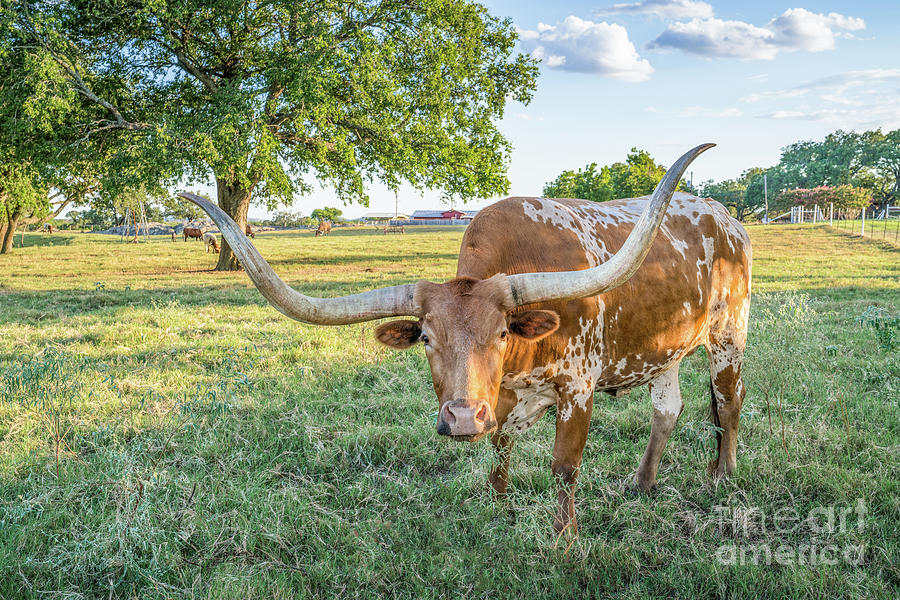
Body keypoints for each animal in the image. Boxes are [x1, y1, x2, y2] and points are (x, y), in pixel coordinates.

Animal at [178, 145, 752, 536]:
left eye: (500, 333)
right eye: (427, 339)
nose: (459, 419)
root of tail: (725, 217)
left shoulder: (577, 387)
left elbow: (564, 467)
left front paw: (564, 538)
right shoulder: (504, 397)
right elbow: (499, 448)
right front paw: (498, 510)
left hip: (729, 336)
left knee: (728, 401)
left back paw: (722, 475)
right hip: (663, 351)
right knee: (668, 409)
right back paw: (642, 482)